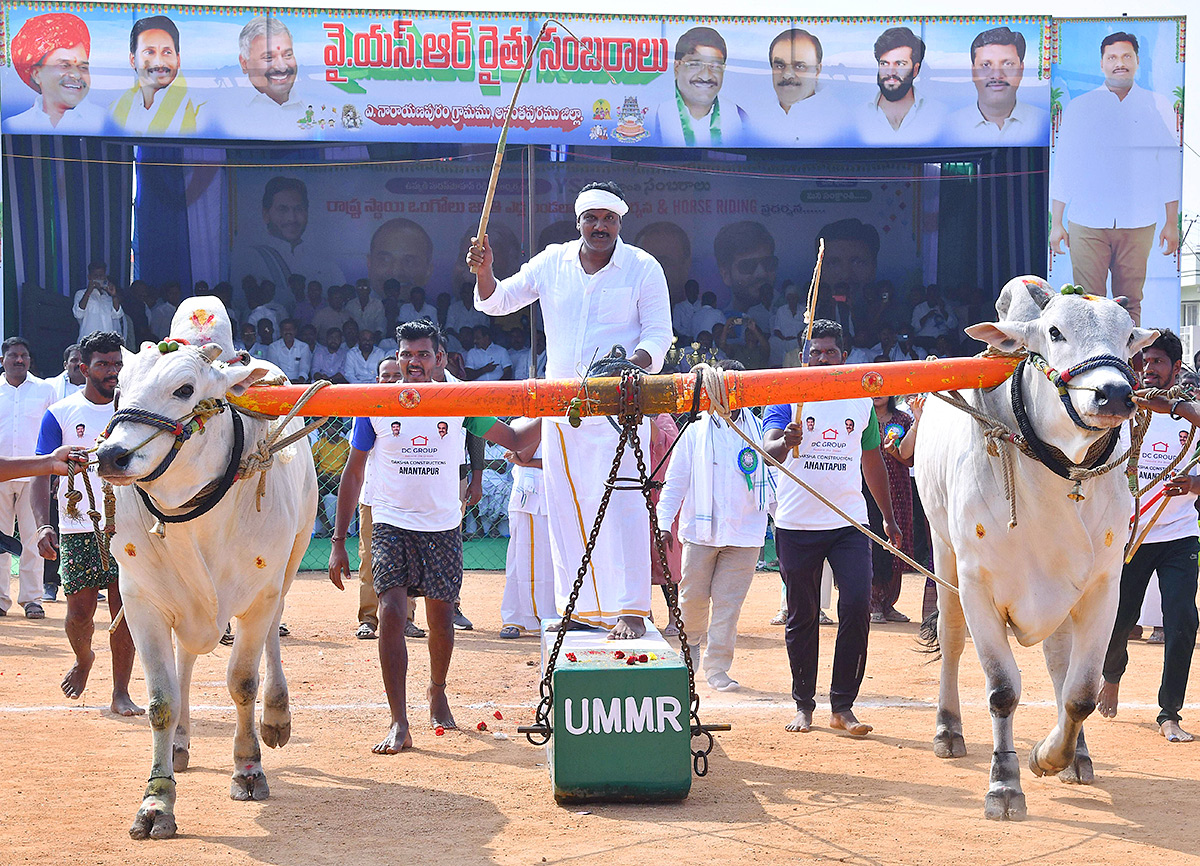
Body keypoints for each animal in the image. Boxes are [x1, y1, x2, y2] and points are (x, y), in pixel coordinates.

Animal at [97, 338, 319, 834]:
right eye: (119, 389)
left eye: (184, 388)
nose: (111, 456)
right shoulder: (142, 602)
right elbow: (162, 700)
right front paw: (157, 802)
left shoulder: (258, 597)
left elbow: (243, 683)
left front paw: (248, 769)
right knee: (185, 662)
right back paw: (180, 743)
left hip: (292, 558)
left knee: (274, 634)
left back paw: (277, 716)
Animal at [912, 277, 1156, 815]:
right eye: (1055, 331)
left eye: (1128, 337)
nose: (1114, 394)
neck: (1059, 472)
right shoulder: (979, 586)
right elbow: (1002, 689)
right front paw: (1004, 784)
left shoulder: (1103, 588)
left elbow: (1081, 692)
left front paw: (1050, 755)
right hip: (944, 554)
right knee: (953, 642)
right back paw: (947, 730)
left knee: (1061, 666)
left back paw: (1076, 756)